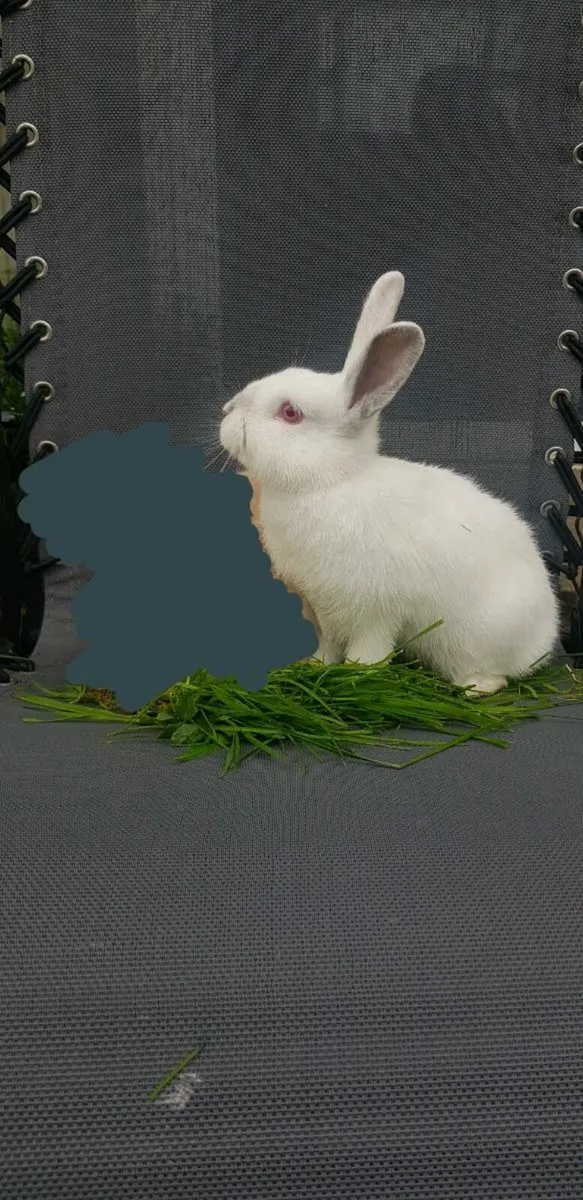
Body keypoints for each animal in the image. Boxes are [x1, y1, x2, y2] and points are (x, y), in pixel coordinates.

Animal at [219, 272, 559, 694]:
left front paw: (358, 674)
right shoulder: (323, 608)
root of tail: (547, 633)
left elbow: (371, 648)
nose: (227, 412)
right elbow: (328, 643)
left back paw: (476, 688)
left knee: (495, 672)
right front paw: (316, 666)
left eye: (290, 413)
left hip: (478, 635)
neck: (330, 482)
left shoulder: (375, 611)